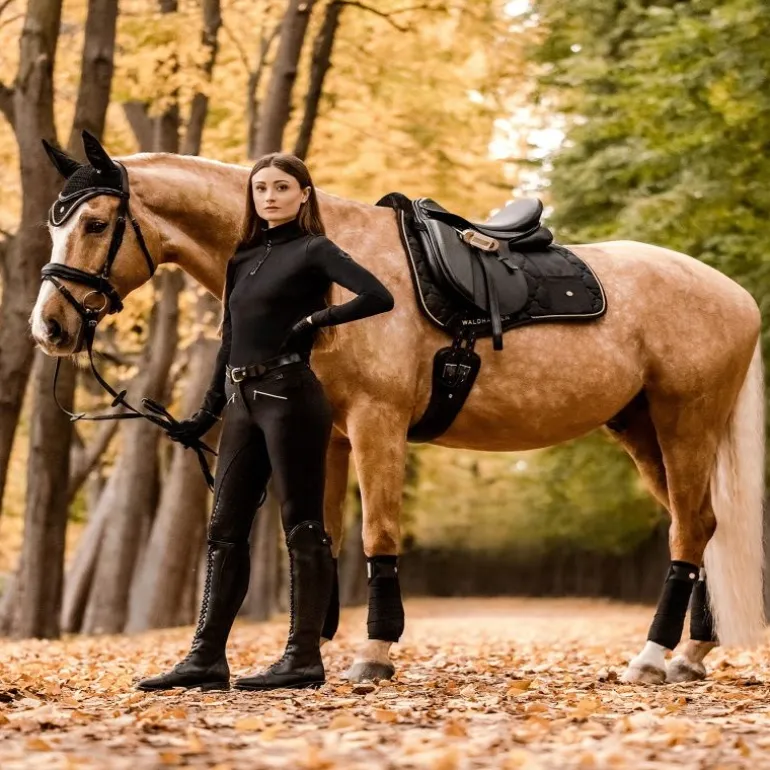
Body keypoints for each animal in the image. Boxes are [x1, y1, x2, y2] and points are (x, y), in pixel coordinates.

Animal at [30, 134, 765, 686]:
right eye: (54, 223)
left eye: (96, 223)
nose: (49, 328)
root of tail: (735, 295)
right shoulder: (326, 437)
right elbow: (318, 538)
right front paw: (307, 658)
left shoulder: (375, 425)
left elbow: (376, 534)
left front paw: (372, 655)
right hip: (642, 431)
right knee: (700, 527)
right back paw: (688, 656)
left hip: (684, 425)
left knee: (689, 532)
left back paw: (650, 657)